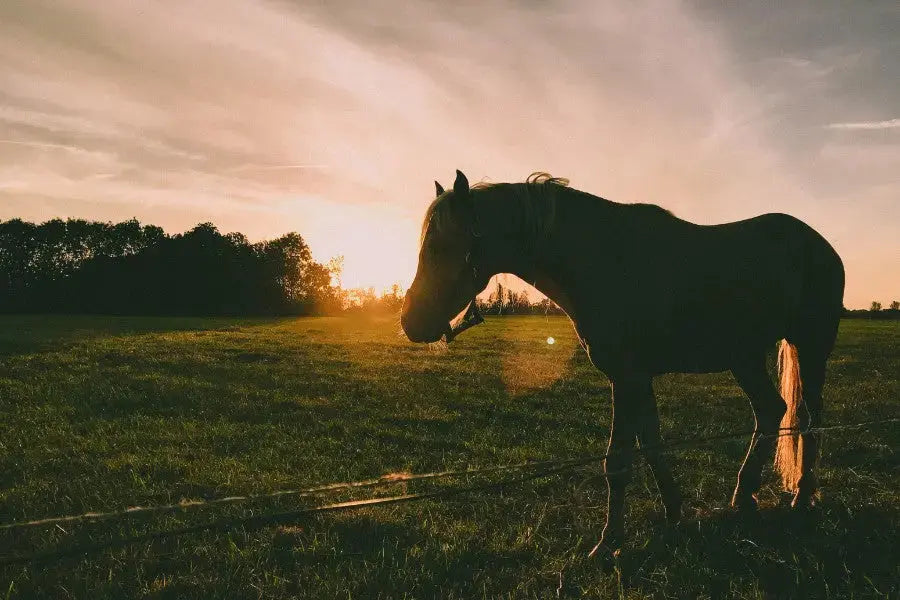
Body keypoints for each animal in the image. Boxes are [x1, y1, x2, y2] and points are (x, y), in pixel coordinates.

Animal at [400, 170, 845, 557]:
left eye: (442, 246)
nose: (410, 322)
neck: (603, 261)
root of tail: (820, 245)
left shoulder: (626, 377)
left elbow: (617, 461)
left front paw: (609, 542)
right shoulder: (635, 379)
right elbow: (651, 445)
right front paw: (673, 511)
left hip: (810, 347)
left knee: (809, 418)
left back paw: (802, 496)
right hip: (744, 357)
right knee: (771, 410)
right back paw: (744, 495)